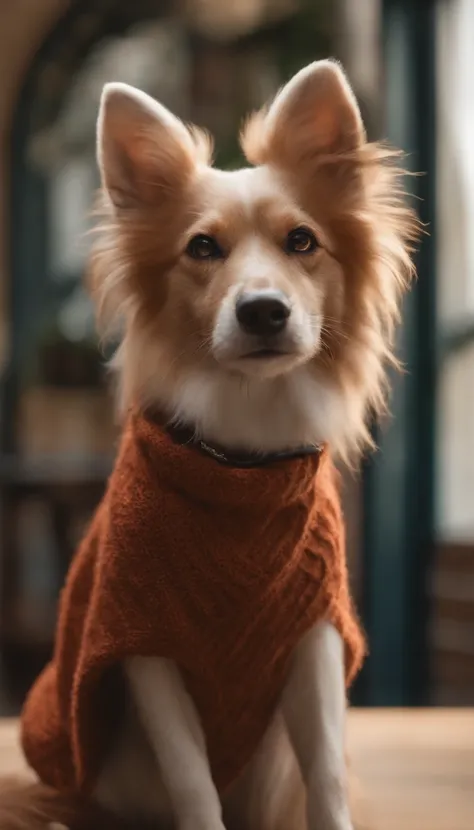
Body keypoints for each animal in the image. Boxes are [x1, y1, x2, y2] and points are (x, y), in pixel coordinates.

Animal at [0, 60, 416, 830]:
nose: (263, 310)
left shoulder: (314, 636)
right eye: (202, 248)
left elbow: (326, 771)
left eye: (303, 241)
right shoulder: (143, 647)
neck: (241, 463)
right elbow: (191, 779)